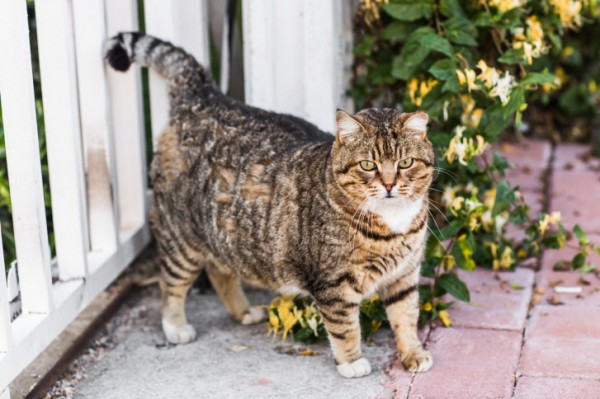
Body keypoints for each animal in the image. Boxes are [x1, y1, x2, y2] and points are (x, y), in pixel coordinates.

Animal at [103, 32, 432, 380]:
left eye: (406, 163)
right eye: (368, 165)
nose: (389, 185)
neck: (393, 223)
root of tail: (205, 99)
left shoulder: (405, 274)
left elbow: (406, 317)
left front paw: (412, 353)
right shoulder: (334, 285)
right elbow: (345, 327)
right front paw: (351, 362)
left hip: (226, 233)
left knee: (220, 270)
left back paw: (243, 311)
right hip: (181, 236)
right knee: (171, 283)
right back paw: (176, 327)